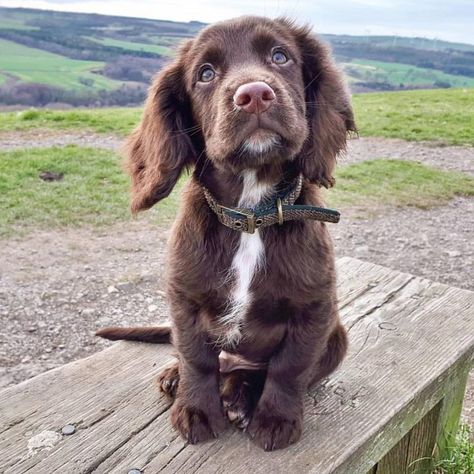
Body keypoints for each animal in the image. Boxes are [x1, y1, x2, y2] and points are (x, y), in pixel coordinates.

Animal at [97, 15, 356, 452]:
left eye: (280, 57)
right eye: (205, 74)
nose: (255, 95)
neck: (250, 214)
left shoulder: (314, 308)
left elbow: (289, 368)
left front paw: (275, 419)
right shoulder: (183, 299)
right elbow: (197, 359)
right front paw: (196, 410)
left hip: (337, 337)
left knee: (253, 370)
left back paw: (240, 394)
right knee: (208, 360)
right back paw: (177, 377)